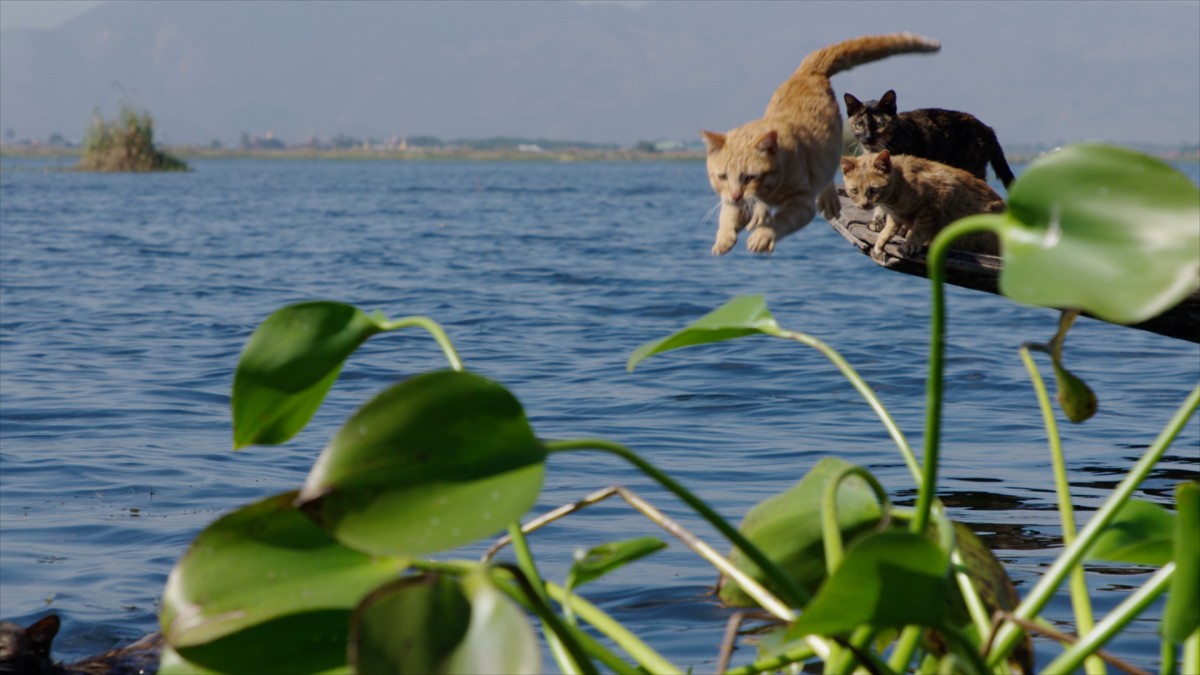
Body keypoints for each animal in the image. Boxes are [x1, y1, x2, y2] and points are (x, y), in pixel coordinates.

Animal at [700, 30, 940, 254]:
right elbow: (729, 214)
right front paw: (724, 238)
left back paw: (828, 202)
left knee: (828, 175)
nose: (736, 194)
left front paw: (762, 236)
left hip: (830, 149)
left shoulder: (803, 203)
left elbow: (781, 220)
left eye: (750, 177)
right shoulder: (731, 198)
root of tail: (808, 71)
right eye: (722, 177)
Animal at [840, 149, 1008, 257]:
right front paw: (881, 241)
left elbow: (920, 227)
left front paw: (911, 243)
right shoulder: (894, 216)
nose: (864, 205)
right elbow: (890, 227)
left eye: (874, 189)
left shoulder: (937, 199)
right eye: (854, 191)